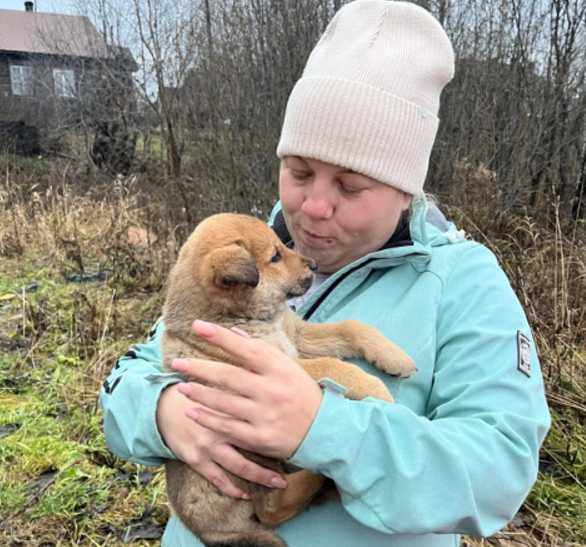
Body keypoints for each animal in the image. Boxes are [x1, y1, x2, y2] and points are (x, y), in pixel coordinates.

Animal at [162, 214, 412, 547]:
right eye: (275, 257)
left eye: (282, 246)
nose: (315, 265)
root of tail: (209, 532)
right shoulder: (277, 368)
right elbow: (330, 364)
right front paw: (378, 390)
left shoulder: (299, 337)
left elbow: (350, 327)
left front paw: (394, 357)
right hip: (245, 453)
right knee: (269, 506)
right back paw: (319, 475)